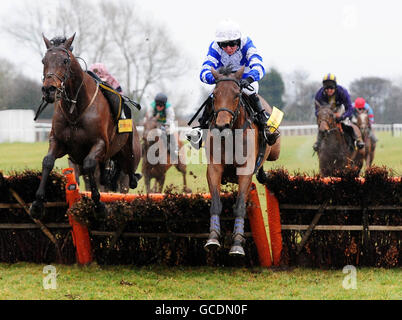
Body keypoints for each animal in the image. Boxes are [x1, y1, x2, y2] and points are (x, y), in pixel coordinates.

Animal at [203, 66, 282, 256]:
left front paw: (238, 243)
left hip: (274, 150)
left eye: (236, 95)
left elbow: (240, 205)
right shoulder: (214, 168)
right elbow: (215, 203)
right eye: (215, 94)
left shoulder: (245, 170)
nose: (222, 125)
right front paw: (213, 238)